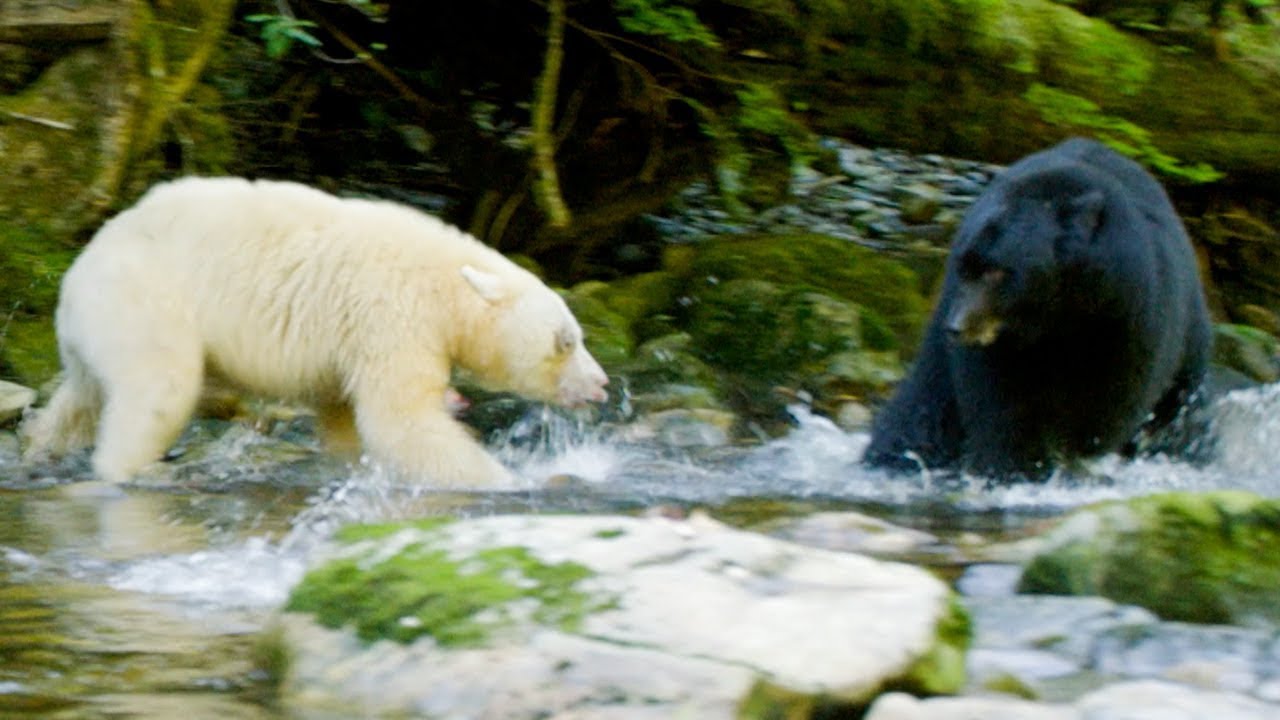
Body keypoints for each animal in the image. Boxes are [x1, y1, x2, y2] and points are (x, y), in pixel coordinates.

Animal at [22, 176, 611, 484]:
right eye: (567, 340)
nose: (602, 384)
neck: (446, 282)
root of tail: (77, 271)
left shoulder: (348, 347)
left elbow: (343, 418)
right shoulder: (392, 316)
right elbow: (403, 422)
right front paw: (513, 480)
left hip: (95, 330)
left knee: (80, 398)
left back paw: (40, 447)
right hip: (146, 302)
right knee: (158, 391)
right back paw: (129, 469)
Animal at [865, 137, 1213, 479]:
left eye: (997, 271)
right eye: (965, 267)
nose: (957, 326)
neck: (1054, 316)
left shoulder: (1125, 318)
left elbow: (1109, 405)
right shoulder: (998, 345)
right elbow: (1000, 407)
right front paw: (1014, 466)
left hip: (1189, 342)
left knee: (1177, 411)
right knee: (923, 405)